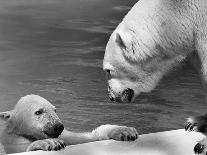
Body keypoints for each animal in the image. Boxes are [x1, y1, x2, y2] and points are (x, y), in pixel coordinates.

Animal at [0, 94, 139, 154]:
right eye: (38, 112)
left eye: (55, 110)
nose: (58, 127)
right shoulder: (13, 141)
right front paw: (50, 143)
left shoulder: (65, 135)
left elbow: (85, 138)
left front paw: (123, 130)